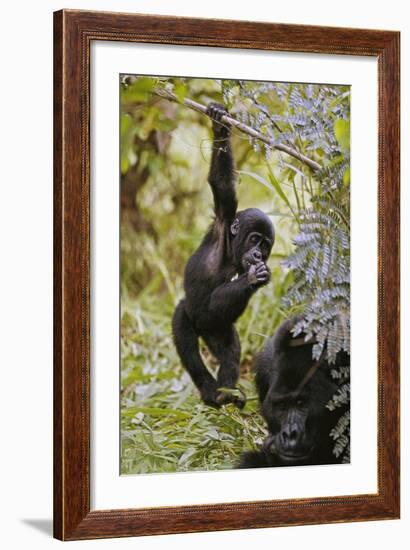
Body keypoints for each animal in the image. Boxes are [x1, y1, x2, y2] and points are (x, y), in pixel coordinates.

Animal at [171, 102, 274, 410]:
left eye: (266, 245)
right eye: (255, 239)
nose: (258, 254)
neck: (232, 253)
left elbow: (219, 304)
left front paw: (257, 277)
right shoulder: (223, 216)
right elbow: (222, 184)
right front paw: (219, 125)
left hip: (215, 331)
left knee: (229, 347)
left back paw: (227, 393)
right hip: (191, 319)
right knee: (186, 338)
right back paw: (209, 391)